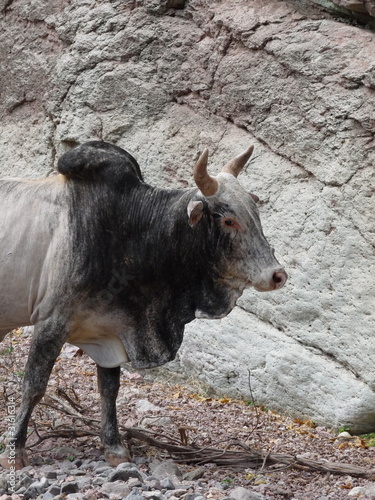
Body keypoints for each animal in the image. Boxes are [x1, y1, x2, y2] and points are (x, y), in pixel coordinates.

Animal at [0, 141, 288, 468]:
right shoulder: (51, 324)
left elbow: (109, 390)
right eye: (228, 219)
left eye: (255, 214)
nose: (277, 275)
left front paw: (114, 448)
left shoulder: (108, 332)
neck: (133, 231)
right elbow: (34, 387)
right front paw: (16, 450)